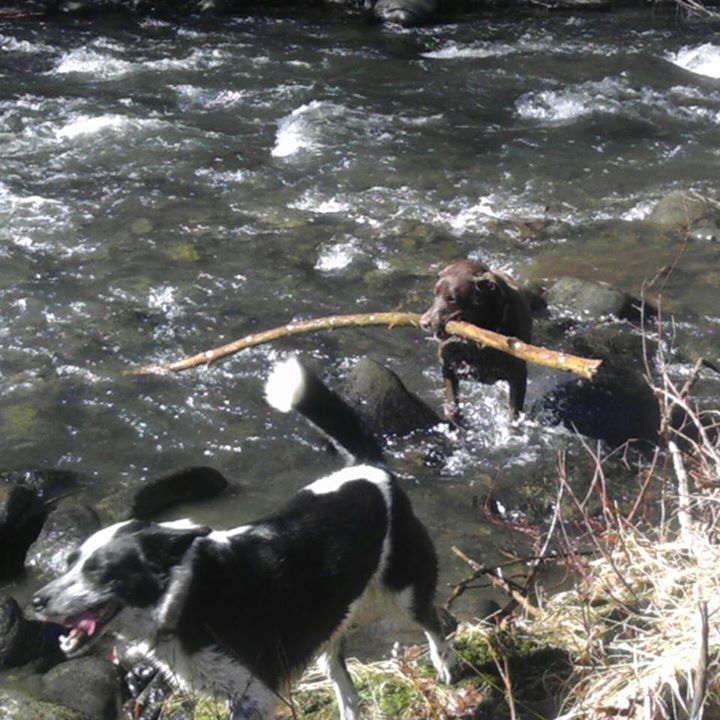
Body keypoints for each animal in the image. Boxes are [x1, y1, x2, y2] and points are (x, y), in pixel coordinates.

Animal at [31, 358, 456, 720]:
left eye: (100, 572)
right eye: (69, 564)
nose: (36, 601)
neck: (184, 598)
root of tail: (368, 468)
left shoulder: (256, 694)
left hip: (406, 591)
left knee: (434, 623)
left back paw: (446, 668)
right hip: (329, 621)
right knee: (343, 679)